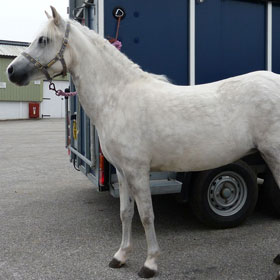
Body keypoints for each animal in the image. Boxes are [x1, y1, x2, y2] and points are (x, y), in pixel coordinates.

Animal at [6, 6, 280, 278]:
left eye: (43, 40)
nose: (11, 71)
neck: (118, 97)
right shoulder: (122, 171)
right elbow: (126, 213)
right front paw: (120, 256)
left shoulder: (138, 171)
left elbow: (147, 215)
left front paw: (150, 264)